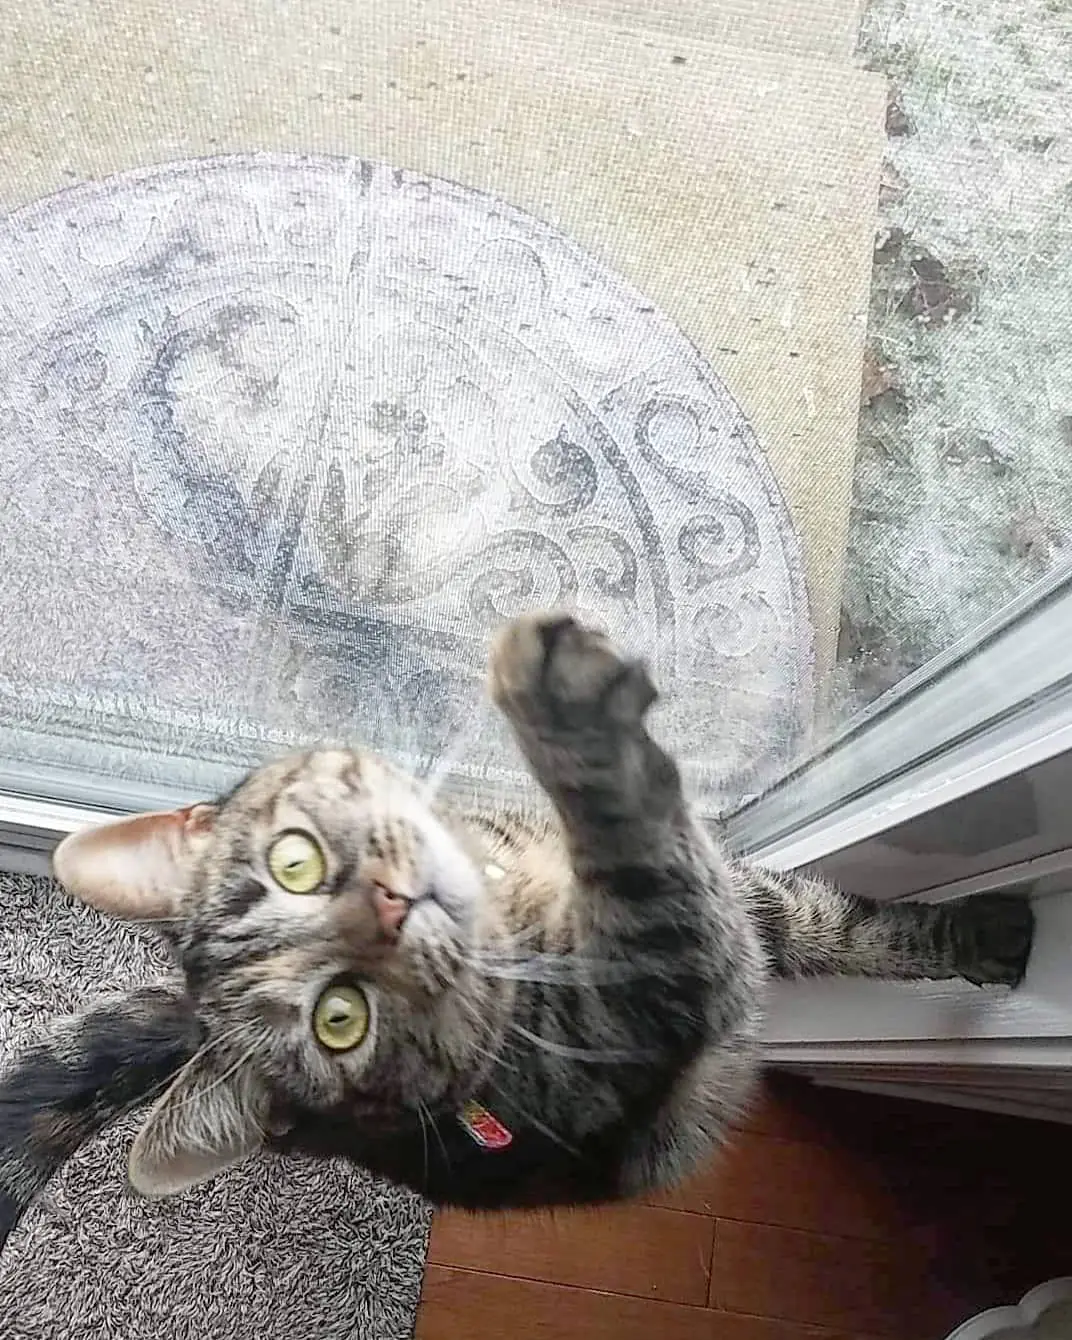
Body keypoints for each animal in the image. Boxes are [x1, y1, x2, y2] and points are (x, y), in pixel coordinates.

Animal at [0, 611, 1034, 1244]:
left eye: (294, 864)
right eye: (341, 1020)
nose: (392, 903)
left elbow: (832, 923)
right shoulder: (671, 973)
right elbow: (696, 878)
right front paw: (566, 711)